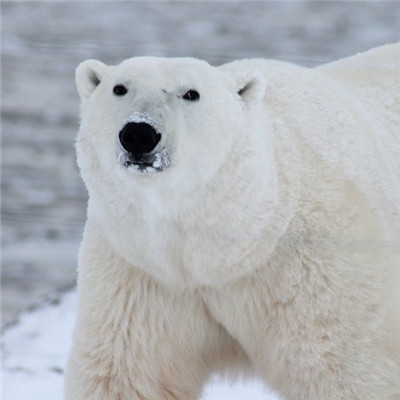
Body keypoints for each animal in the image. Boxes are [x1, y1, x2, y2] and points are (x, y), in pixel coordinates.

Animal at [66, 43, 400, 400]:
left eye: (191, 93)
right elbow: (129, 373)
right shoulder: (141, 272)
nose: (139, 133)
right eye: (119, 88)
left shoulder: (315, 270)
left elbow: (341, 369)